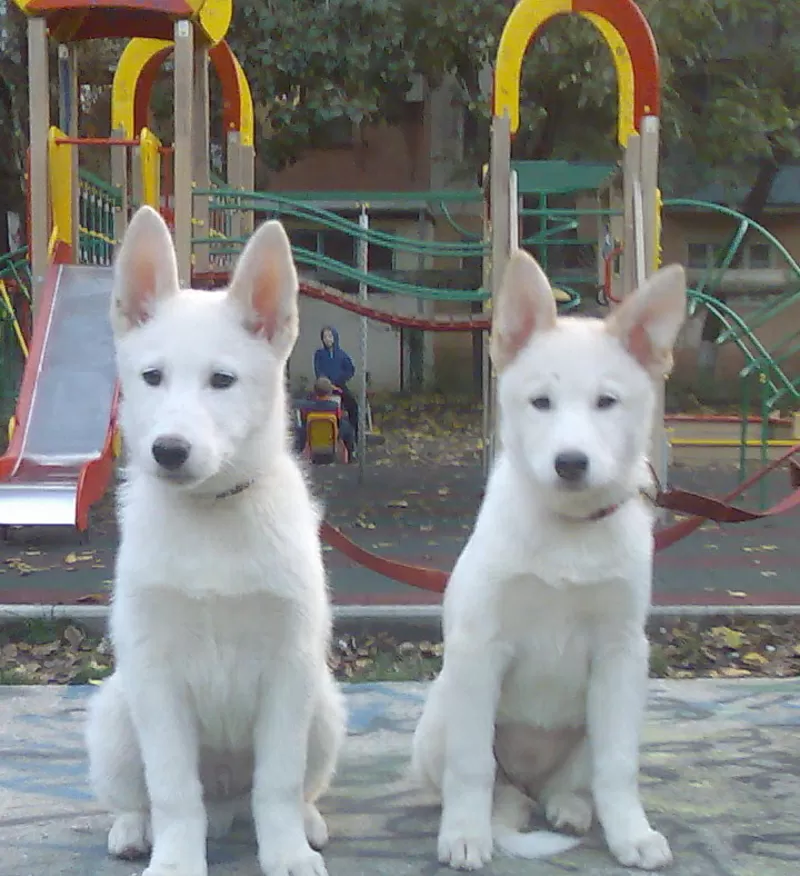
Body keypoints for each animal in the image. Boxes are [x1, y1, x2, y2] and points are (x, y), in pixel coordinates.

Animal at [86, 207, 346, 876]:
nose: (169, 451)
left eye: (222, 381)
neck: (212, 514)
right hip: (116, 712)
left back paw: (307, 823)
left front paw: (286, 853)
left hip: (323, 705)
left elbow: (277, 783)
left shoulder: (288, 669)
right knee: (138, 795)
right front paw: (176, 859)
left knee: (291, 787)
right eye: (151, 377)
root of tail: (227, 806)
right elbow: (174, 790)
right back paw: (134, 829)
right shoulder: (156, 676)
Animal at [412, 250, 688, 872]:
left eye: (607, 402)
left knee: (574, 782)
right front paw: (464, 835)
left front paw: (631, 834)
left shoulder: (620, 652)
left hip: (602, 717)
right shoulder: (480, 646)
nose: (570, 462)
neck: (569, 530)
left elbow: (618, 767)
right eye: (540, 402)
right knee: (493, 787)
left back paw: (571, 809)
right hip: (442, 708)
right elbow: (471, 766)